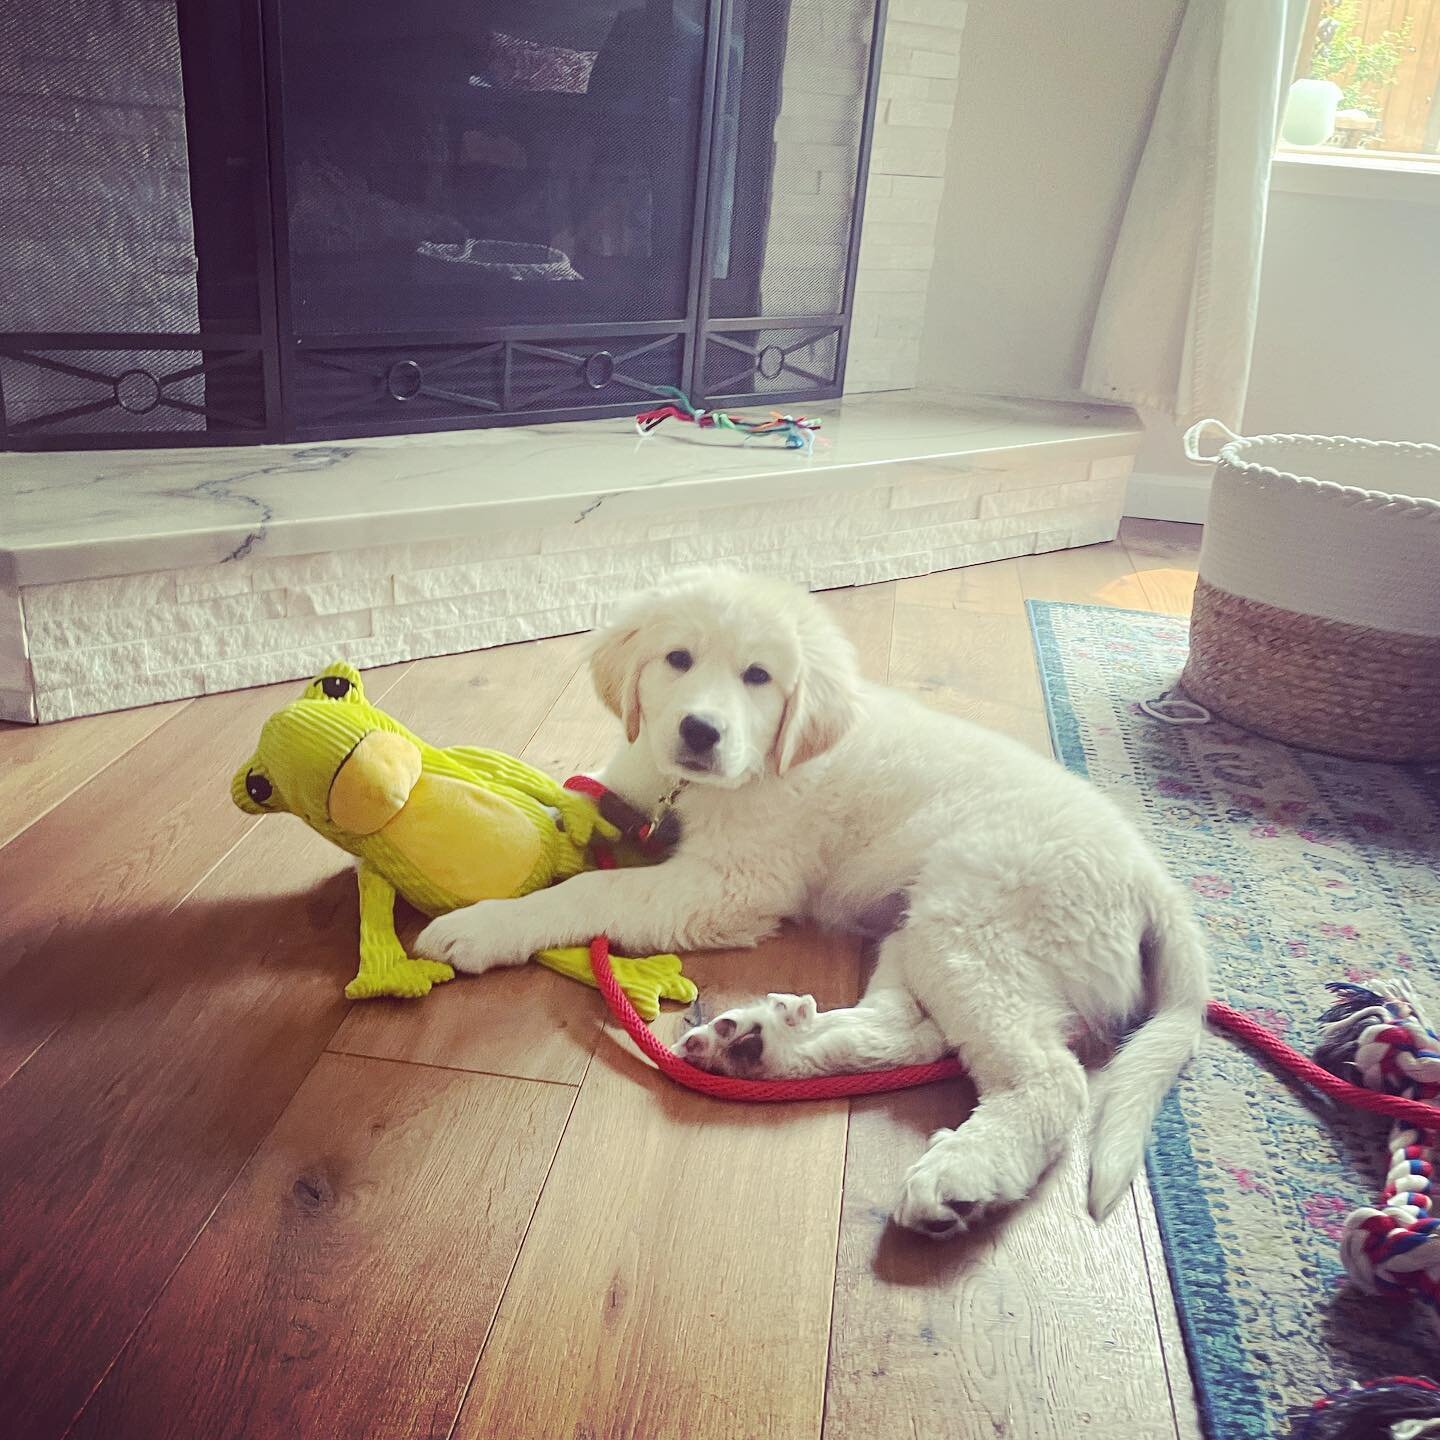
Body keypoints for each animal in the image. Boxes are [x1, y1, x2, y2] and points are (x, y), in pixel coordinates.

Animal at [417, 567, 1203, 1232]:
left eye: (759, 677)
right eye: (677, 659)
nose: (699, 730)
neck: (704, 787)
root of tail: (1153, 879)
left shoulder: (732, 884)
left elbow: (594, 886)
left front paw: (486, 923)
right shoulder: (634, 793)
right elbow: (569, 811)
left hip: (974, 922)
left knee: (1048, 1078)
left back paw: (962, 1174)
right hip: (921, 921)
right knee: (912, 1028)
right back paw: (758, 1048)